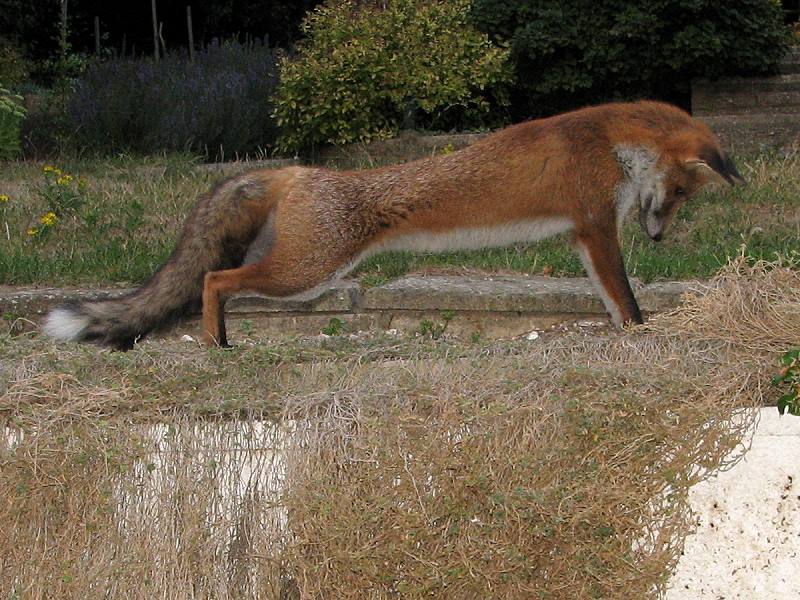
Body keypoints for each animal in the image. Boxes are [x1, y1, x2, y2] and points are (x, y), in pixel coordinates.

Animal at [42, 101, 744, 350]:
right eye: (680, 192)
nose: (659, 238)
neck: (610, 139)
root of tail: (292, 171)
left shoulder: (581, 234)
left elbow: (609, 298)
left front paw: (625, 335)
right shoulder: (597, 225)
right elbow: (626, 296)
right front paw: (642, 334)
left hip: (300, 267)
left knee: (214, 278)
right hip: (305, 272)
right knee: (214, 280)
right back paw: (218, 344)